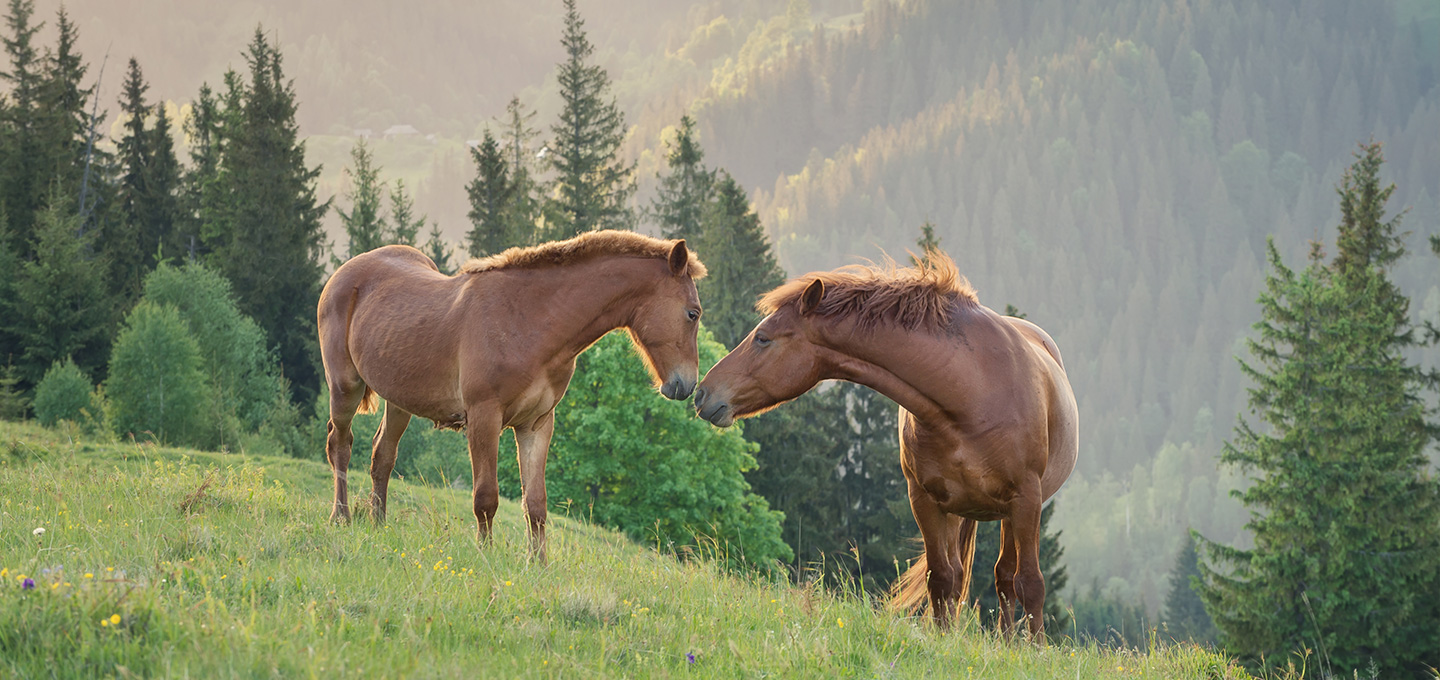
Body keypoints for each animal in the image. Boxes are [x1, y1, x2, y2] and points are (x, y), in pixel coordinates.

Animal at [318, 230, 705, 561]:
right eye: (693, 313)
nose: (686, 386)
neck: (529, 322)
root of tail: (344, 272)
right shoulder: (484, 417)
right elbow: (485, 497)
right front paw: (485, 554)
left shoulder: (536, 424)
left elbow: (536, 503)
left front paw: (539, 564)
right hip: (345, 386)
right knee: (340, 444)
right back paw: (342, 517)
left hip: (399, 401)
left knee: (382, 456)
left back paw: (378, 524)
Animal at [691, 250, 1077, 636]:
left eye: (763, 338)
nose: (702, 392)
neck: (972, 392)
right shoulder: (925, 500)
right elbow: (942, 578)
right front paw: (942, 639)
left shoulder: (1026, 500)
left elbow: (1031, 583)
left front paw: (1036, 647)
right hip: (959, 510)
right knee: (968, 575)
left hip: (1012, 514)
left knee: (1006, 578)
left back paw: (1008, 641)